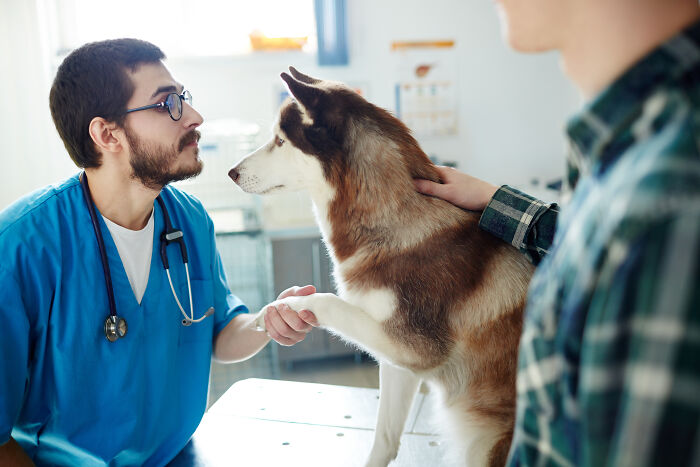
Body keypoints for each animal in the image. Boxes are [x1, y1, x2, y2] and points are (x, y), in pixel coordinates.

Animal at [227, 67, 532, 466]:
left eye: (279, 140)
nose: (231, 172)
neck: (395, 219)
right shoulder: (398, 361)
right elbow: (384, 438)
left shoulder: (414, 348)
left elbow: (327, 301)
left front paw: (285, 307)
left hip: (488, 442)